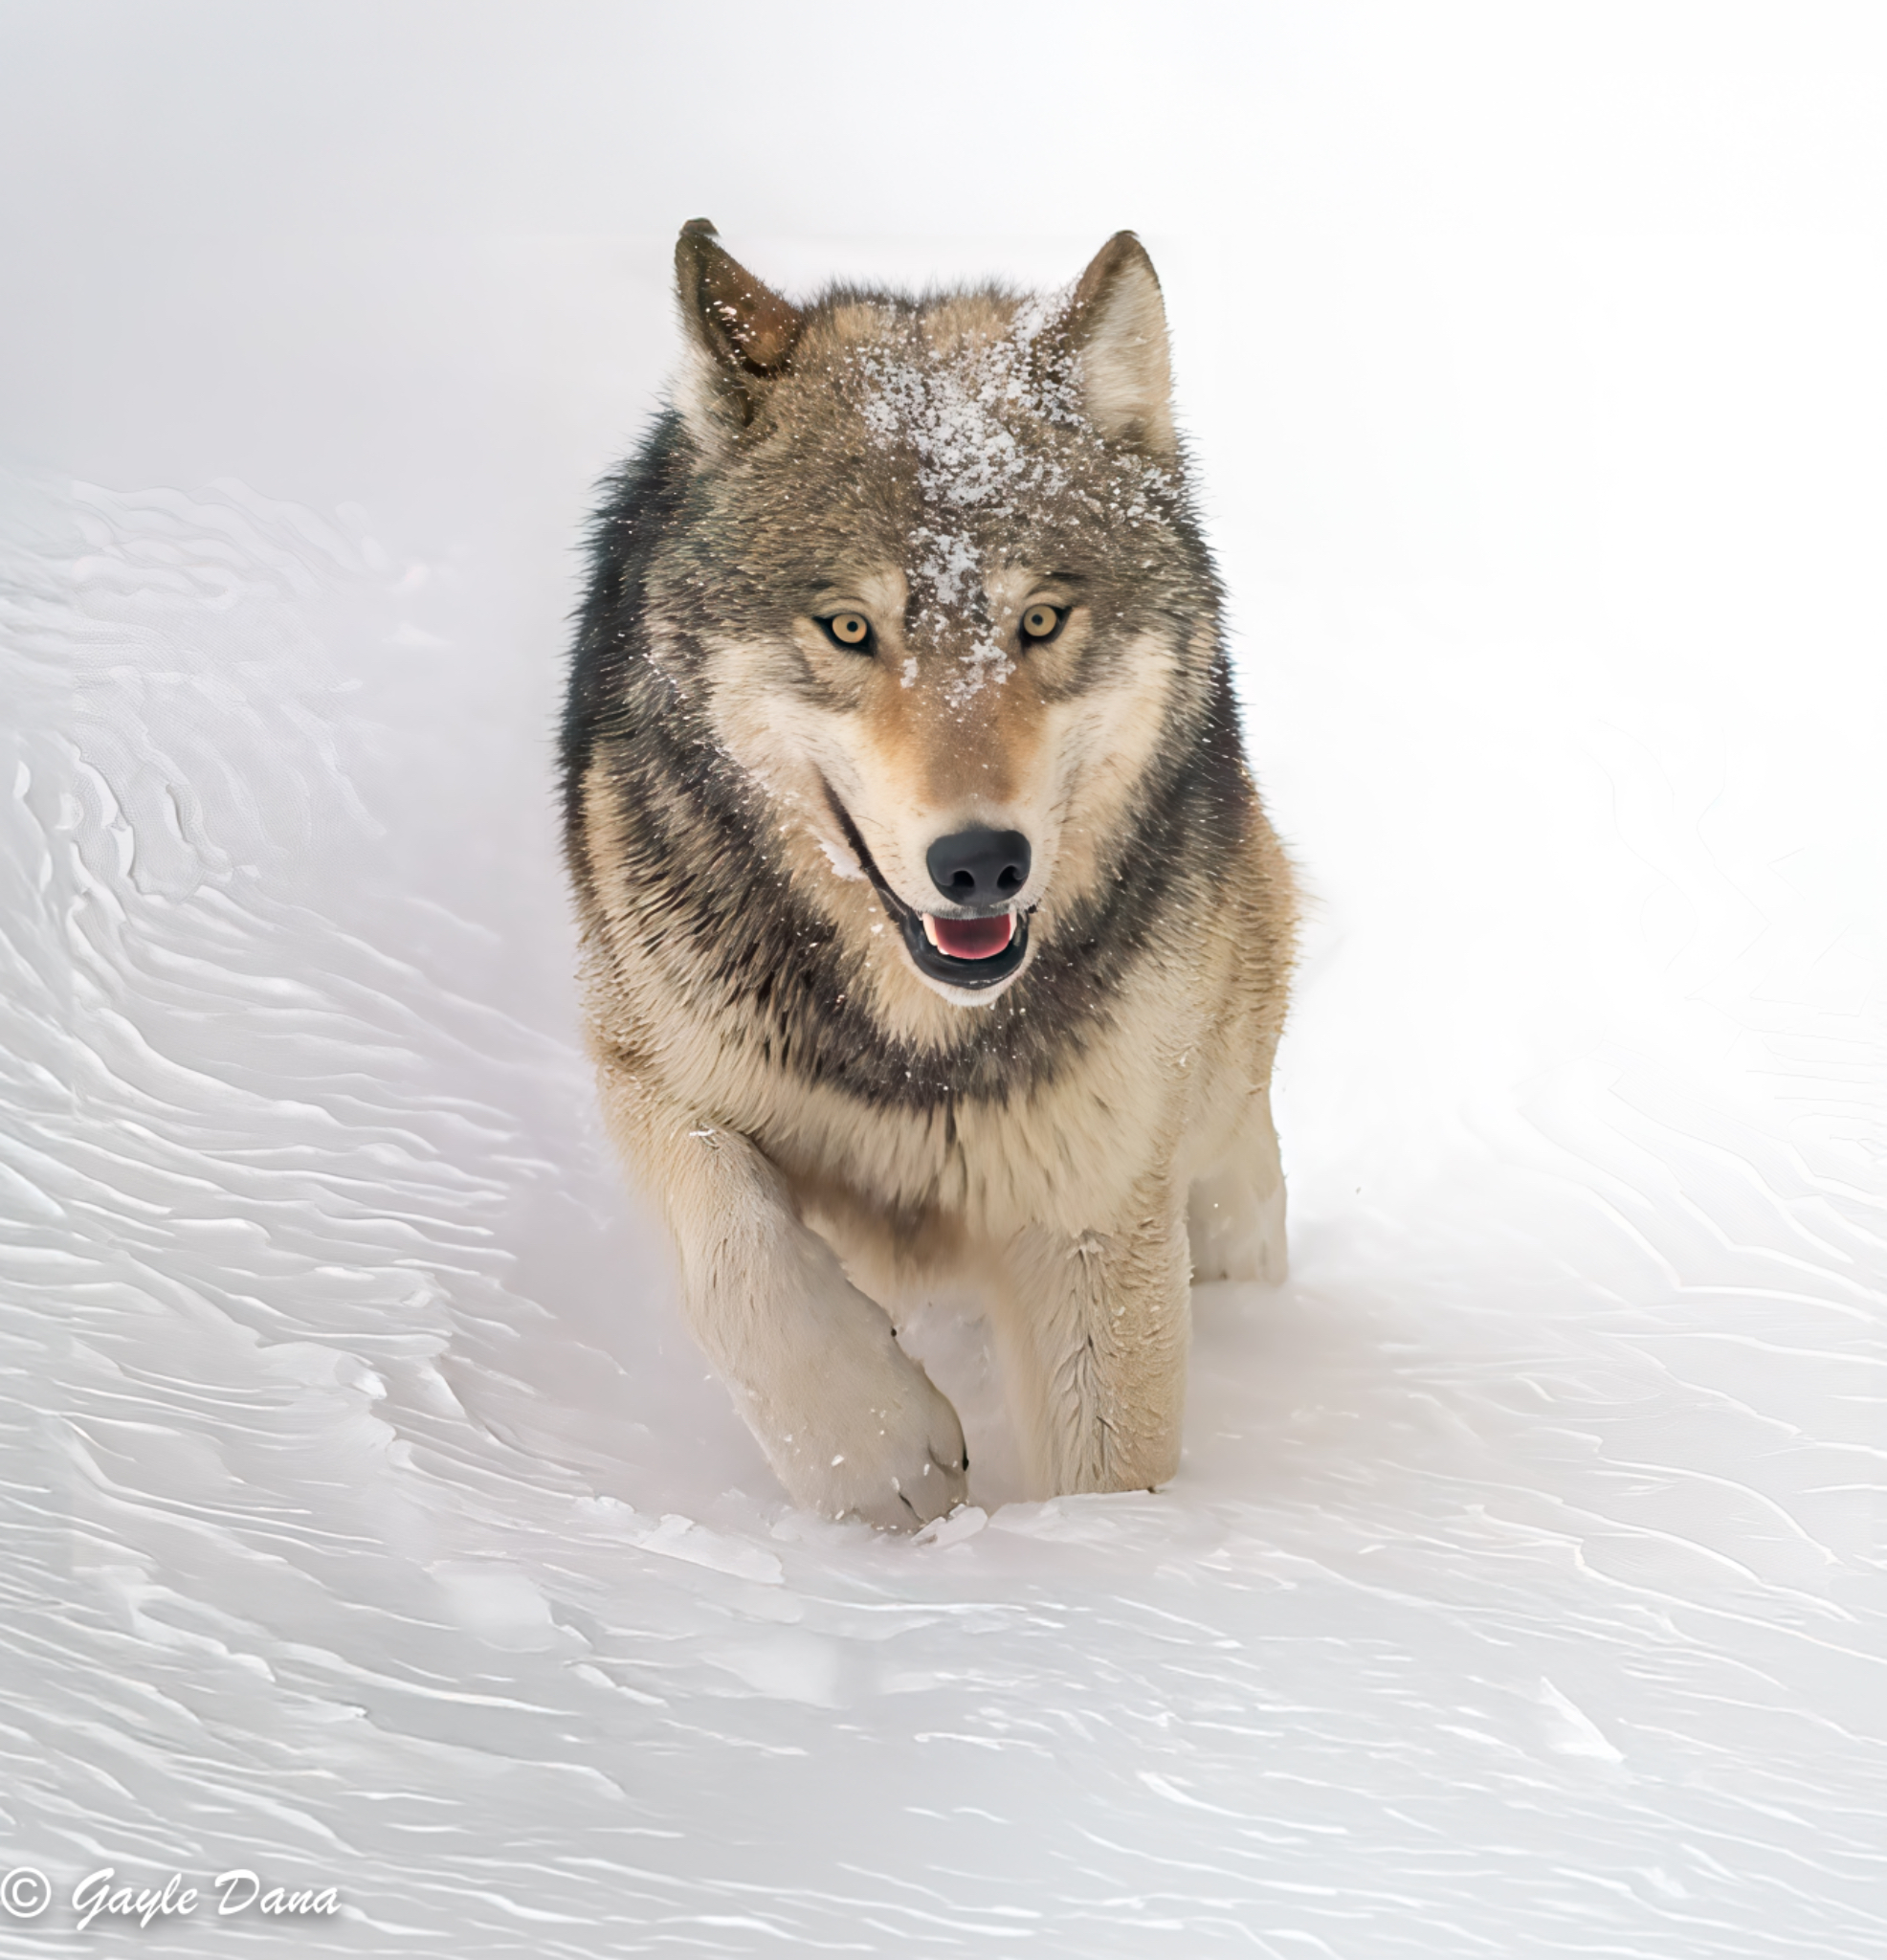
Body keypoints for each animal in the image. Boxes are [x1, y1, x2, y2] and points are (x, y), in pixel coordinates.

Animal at [562, 221, 1295, 1528]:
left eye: (1039, 620)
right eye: (851, 629)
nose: (980, 863)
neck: (919, 1054)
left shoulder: (1093, 1217)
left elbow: (1111, 1478)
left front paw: (1106, 1564)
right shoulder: (646, 1061)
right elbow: (735, 1248)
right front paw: (878, 1452)